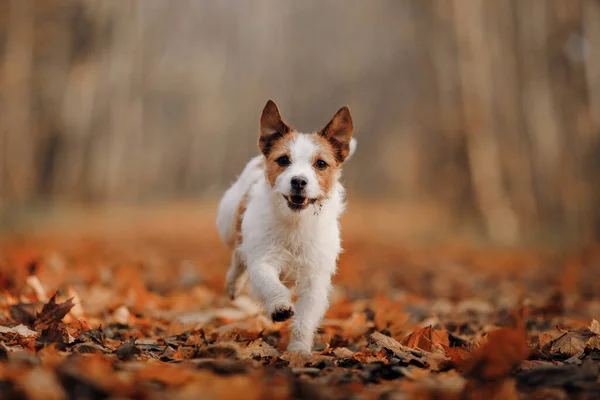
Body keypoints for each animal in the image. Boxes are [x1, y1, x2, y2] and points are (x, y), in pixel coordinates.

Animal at [216, 100, 356, 354]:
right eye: (283, 160)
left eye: (321, 163)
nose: (299, 181)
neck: (295, 223)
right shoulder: (263, 261)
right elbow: (271, 284)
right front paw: (280, 306)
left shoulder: (315, 279)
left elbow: (306, 318)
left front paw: (299, 351)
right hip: (228, 225)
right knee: (237, 256)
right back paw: (234, 282)